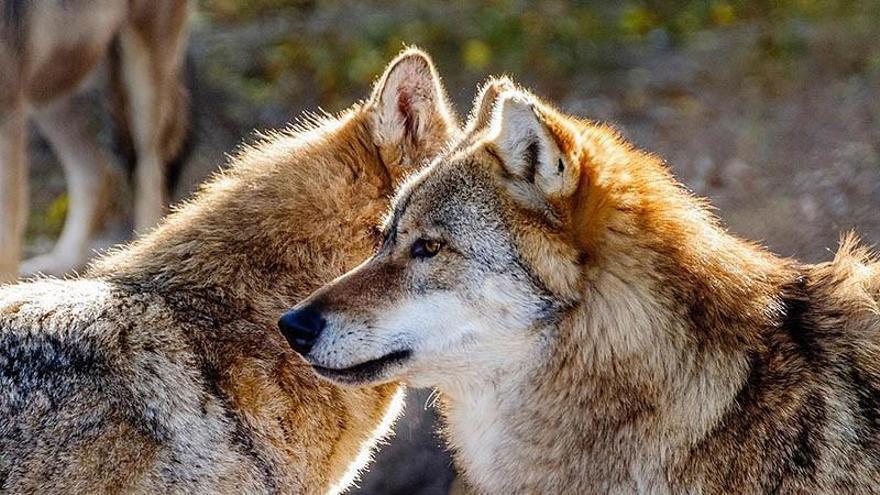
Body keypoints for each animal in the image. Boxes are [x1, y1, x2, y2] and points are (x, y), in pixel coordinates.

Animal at [0, 0, 191, 283]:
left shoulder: (8, 109)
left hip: (141, 74)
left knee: (150, 174)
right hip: (51, 92)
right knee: (98, 171)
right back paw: (60, 269)